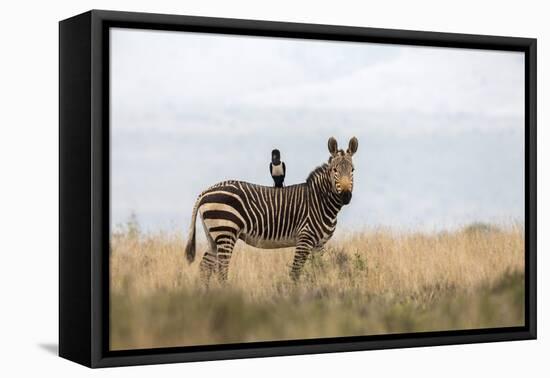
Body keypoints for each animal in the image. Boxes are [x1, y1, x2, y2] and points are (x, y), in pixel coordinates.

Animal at [183, 136, 360, 280]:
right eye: (334, 170)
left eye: (352, 170)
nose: (346, 196)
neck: (320, 200)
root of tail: (205, 192)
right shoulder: (304, 239)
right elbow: (295, 272)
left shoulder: (319, 244)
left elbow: (319, 271)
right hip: (226, 231)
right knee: (221, 269)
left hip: (213, 236)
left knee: (205, 267)